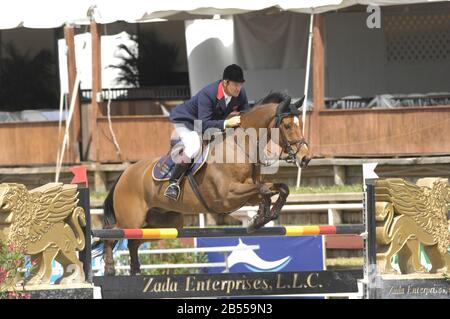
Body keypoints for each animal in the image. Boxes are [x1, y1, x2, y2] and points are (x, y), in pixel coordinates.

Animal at [98, 92, 310, 276]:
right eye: (287, 125)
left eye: (300, 123)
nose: (305, 158)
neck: (240, 147)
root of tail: (124, 174)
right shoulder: (227, 196)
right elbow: (264, 189)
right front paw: (259, 217)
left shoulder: (247, 195)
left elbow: (280, 188)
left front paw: (264, 216)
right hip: (131, 219)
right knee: (110, 235)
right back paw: (109, 269)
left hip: (162, 222)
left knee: (133, 242)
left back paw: (135, 270)